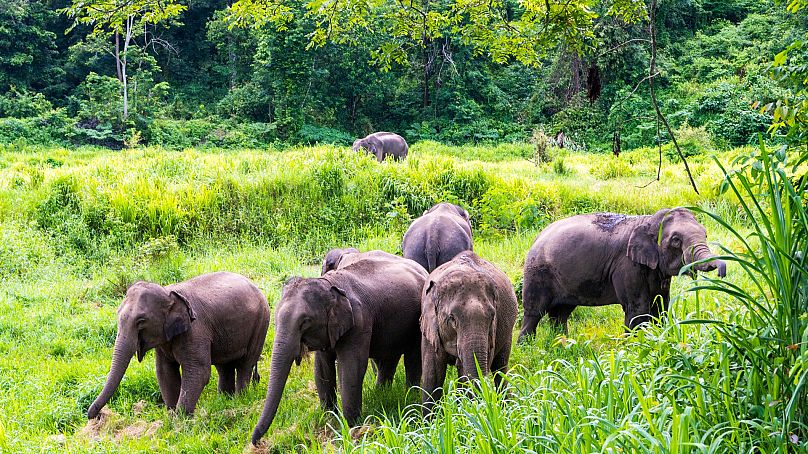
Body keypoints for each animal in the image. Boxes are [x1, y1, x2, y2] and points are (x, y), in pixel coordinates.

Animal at [87, 272, 272, 420]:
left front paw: (180, 421)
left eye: (141, 321)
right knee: (223, 366)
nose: (95, 416)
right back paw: (225, 400)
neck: (168, 292)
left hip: (261, 322)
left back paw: (240, 399)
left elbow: (198, 371)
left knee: (245, 364)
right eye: (118, 315)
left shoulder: (195, 331)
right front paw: (171, 417)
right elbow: (165, 372)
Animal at [251, 252, 430, 444]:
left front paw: (352, 427)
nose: (255, 442)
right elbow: (322, 369)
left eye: (304, 322)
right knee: (390, 357)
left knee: (412, 357)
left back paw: (410, 395)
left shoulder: (359, 323)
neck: (329, 284)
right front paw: (329, 418)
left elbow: (351, 367)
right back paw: (381, 392)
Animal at [416, 252, 516, 414]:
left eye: (492, 316)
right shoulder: (430, 328)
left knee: (500, 368)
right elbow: (433, 374)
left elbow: (465, 375)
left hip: (508, 333)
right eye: (451, 318)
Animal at [520, 207, 728, 340]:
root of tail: (537, 237)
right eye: (676, 240)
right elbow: (638, 308)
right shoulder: (627, 265)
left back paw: (562, 343)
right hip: (537, 272)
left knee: (560, 313)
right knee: (534, 312)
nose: (722, 272)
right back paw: (528, 346)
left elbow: (660, 305)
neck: (648, 221)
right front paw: (634, 346)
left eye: (705, 234)